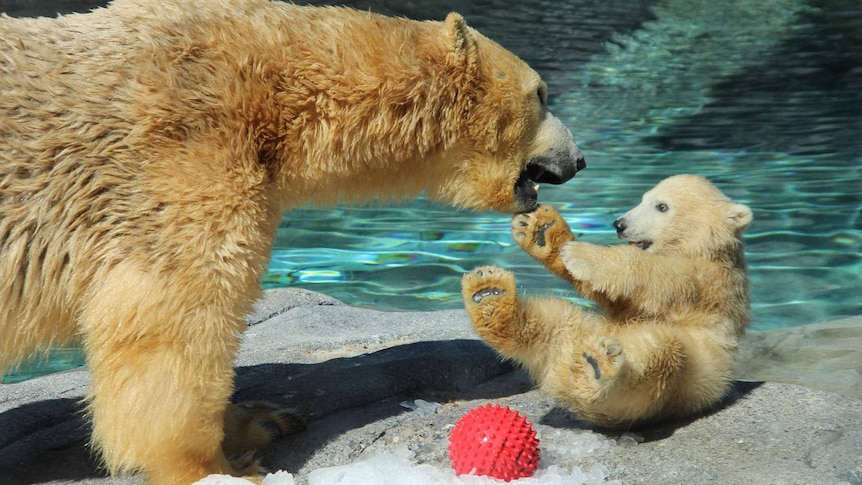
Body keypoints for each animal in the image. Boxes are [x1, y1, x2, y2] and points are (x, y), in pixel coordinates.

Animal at [0, 1, 588, 482]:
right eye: (540, 93)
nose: (579, 159)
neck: (271, 85)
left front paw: (258, 419)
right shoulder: (182, 160)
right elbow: (174, 316)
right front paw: (218, 468)